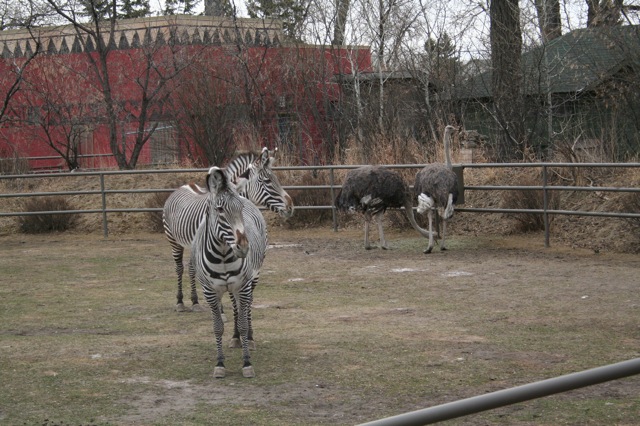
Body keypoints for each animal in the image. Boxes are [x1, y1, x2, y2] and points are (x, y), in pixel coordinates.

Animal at [162, 147, 293, 313]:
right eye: (267, 181)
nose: (290, 207)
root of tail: (183, 186)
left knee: (191, 269)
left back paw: (195, 301)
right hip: (173, 240)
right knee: (179, 268)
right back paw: (180, 302)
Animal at [191, 166, 267, 378]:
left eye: (239, 209)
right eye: (219, 209)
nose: (243, 248)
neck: (223, 255)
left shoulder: (243, 286)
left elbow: (243, 322)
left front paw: (247, 362)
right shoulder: (209, 291)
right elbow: (217, 327)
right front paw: (220, 364)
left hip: (252, 279)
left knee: (246, 308)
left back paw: (249, 338)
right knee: (235, 308)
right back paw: (235, 338)